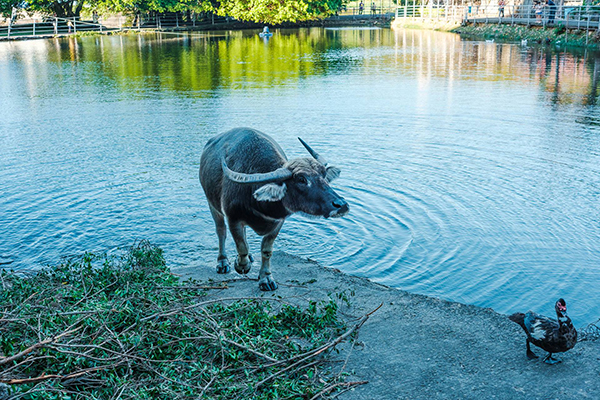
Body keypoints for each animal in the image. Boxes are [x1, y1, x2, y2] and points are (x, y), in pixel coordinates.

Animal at [199, 128, 350, 290]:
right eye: (301, 179)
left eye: (323, 175)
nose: (342, 204)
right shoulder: (232, 217)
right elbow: (241, 246)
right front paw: (241, 265)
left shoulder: (278, 222)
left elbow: (266, 250)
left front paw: (266, 278)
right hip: (212, 205)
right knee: (221, 231)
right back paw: (223, 262)